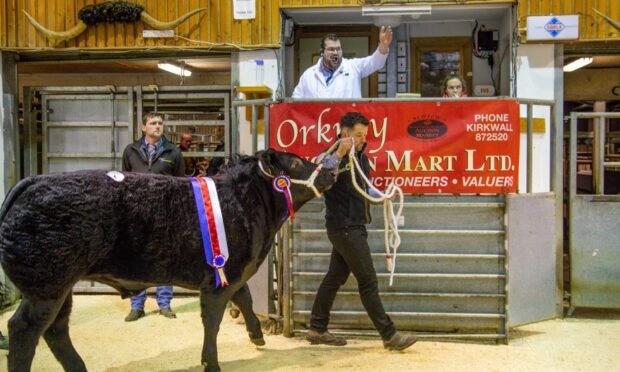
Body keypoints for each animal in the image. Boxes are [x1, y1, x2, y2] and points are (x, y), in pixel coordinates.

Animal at [0, 150, 336, 370]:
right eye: (296, 162)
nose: (331, 172)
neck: (245, 202)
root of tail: (32, 181)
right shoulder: (219, 276)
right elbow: (213, 320)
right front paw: (211, 362)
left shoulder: (230, 270)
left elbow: (245, 298)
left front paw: (256, 336)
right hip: (47, 285)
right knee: (24, 329)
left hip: (59, 285)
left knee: (56, 330)